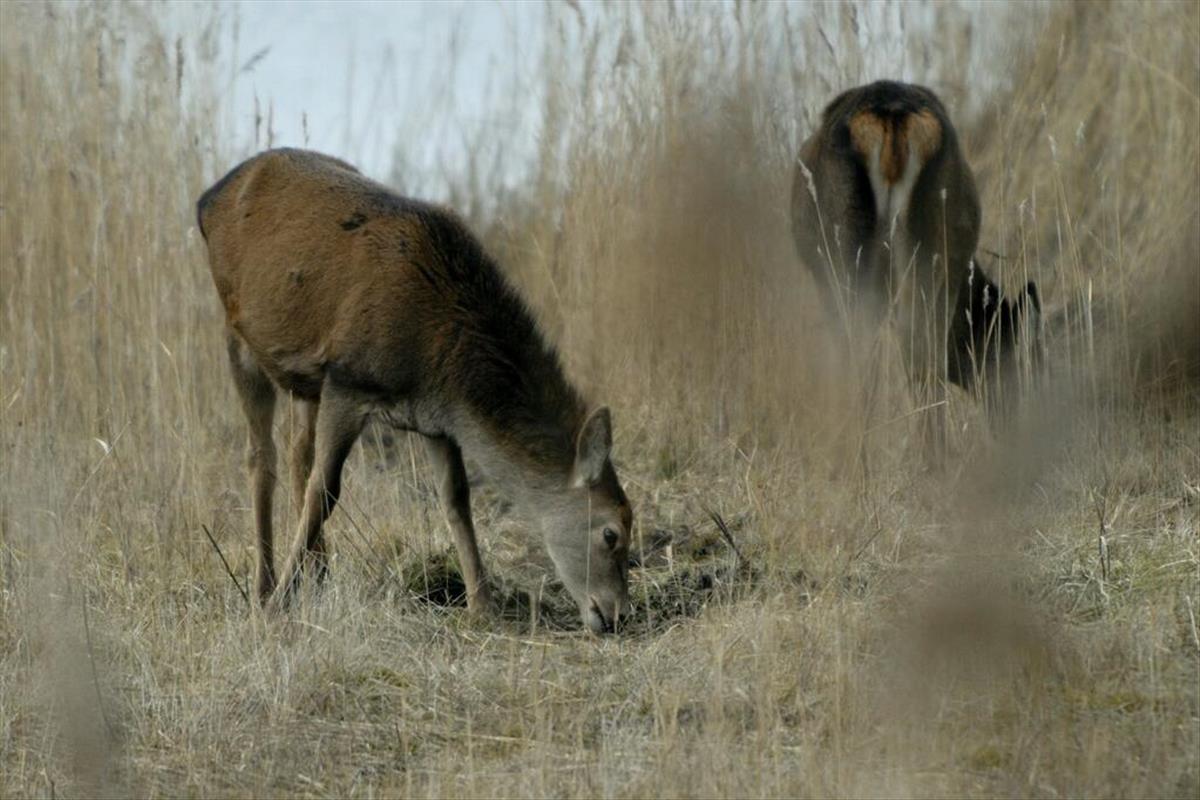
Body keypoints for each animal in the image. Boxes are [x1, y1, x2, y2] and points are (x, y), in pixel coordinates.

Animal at [194, 146, 638, 633]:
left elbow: (456, 500)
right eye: (612, 533)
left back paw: (319, 572)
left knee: (297, 453)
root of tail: (207, 197)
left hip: (305, 377)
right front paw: (278, 607)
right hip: (239, 335)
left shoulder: (435, 419)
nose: (616, 614)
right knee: (261, 457)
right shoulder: (349, 379)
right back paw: (265, 587)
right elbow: (325, 491)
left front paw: (482, 605)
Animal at [787, 82, 1041, 450]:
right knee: (916, 349)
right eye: (1012, 353)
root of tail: (893, 118)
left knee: (868, 352)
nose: (1015, 422)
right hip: (930, 244)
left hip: (847, 253)